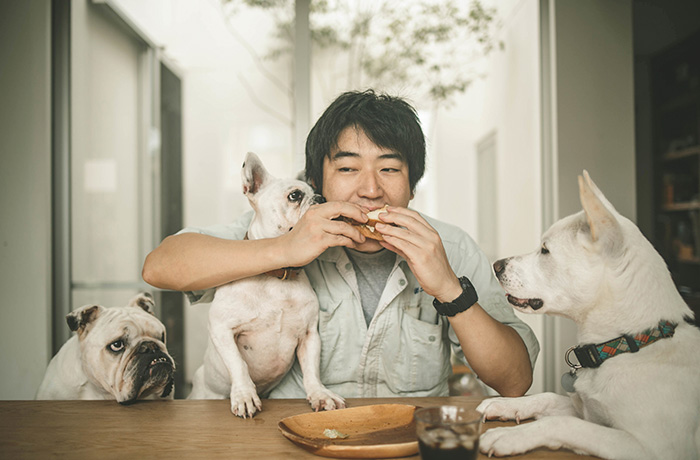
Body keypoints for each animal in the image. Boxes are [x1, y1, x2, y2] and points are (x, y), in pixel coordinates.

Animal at [478, 171, 700, 458]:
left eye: (545, 250)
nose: (496, 265)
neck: (631, 344)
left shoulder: (651, 447)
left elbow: (562, 423)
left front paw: (509, 436)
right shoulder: (585, 411)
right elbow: (548, 397)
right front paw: (505, 404)